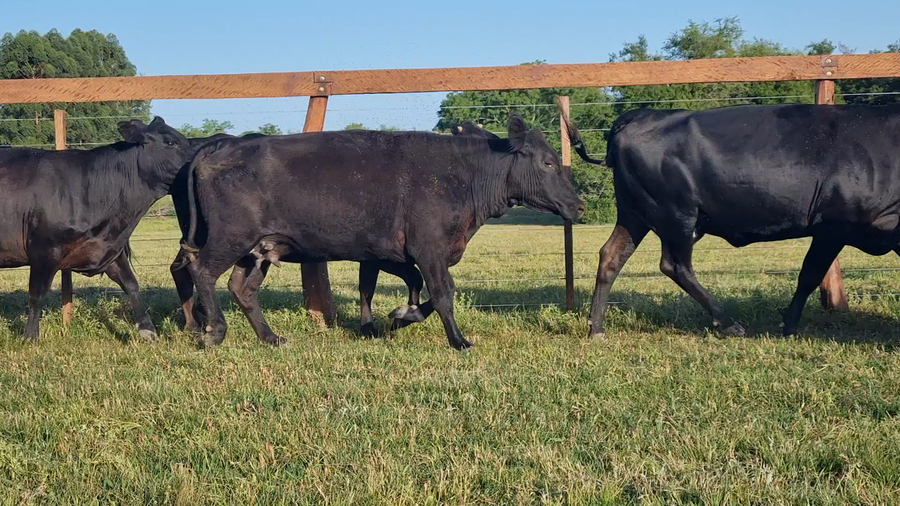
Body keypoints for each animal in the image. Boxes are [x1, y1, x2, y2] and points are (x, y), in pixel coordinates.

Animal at [0, 117, 195, 340]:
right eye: (170, 142)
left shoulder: (108, 248)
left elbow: (131, 284)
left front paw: (148, 330)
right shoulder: (43, 249)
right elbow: (36, 294)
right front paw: (30, 337)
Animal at [175, 113, 585, 349]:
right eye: (548, 162)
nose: (579, 206)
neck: (464, 175)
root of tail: (222, 145)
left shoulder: (391, 253)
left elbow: (407, 289)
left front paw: (400, 316)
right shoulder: (429, 249)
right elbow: (443, 292)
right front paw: (458, 340)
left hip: (258, 248)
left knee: (242, 289)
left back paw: (271, 337)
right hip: (229, 238)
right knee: (202, 271)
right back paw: (214, 331)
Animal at [560, 103, 900, 338]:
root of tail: (642, 115)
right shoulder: (835, 226)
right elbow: (810, 273)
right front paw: (788, 325)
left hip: (635, 213)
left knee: (611, 256)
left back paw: (596, 328)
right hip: (676, 213)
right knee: (675, 265)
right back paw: (728, 323)